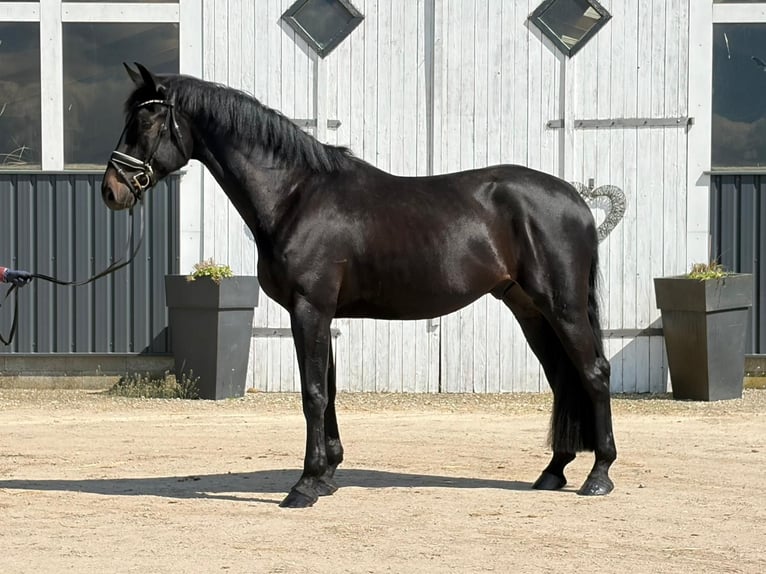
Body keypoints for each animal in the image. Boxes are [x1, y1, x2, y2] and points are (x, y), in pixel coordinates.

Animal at [101, 63, 616, 508]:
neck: (296, 195)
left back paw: (599, 475)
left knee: (593, 373)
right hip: (529, 309)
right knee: (562, 379)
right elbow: (327, 390)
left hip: (563, 307)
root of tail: (575, 199)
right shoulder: (321, 314)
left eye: (145, 123)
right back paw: (554, 471)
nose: (112, 190)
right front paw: (328, 474)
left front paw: (305, 485)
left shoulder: (309, 308)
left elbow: (313, 393)